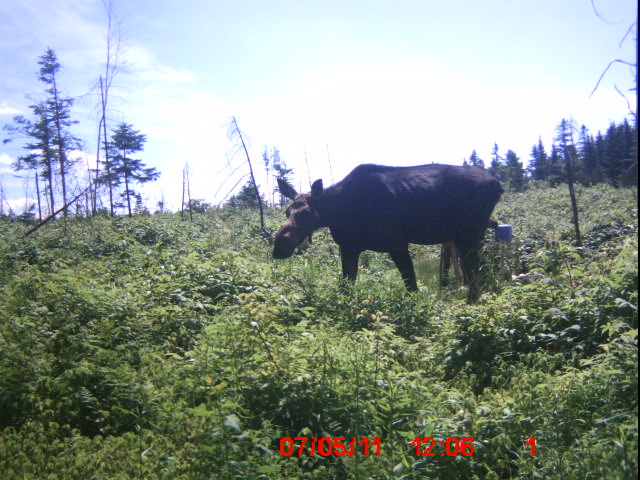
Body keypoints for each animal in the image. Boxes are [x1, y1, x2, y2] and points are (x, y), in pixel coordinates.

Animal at [272, 163, 502, 302]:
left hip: (469, 233)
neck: (340, 212)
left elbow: (411, 286)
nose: (279, 246)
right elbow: (347, 287)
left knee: (475, 275)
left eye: (307, 213)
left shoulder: (397, 243)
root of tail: (498, 185)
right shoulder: (349, 248)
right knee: (479, 273)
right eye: (287, 211)